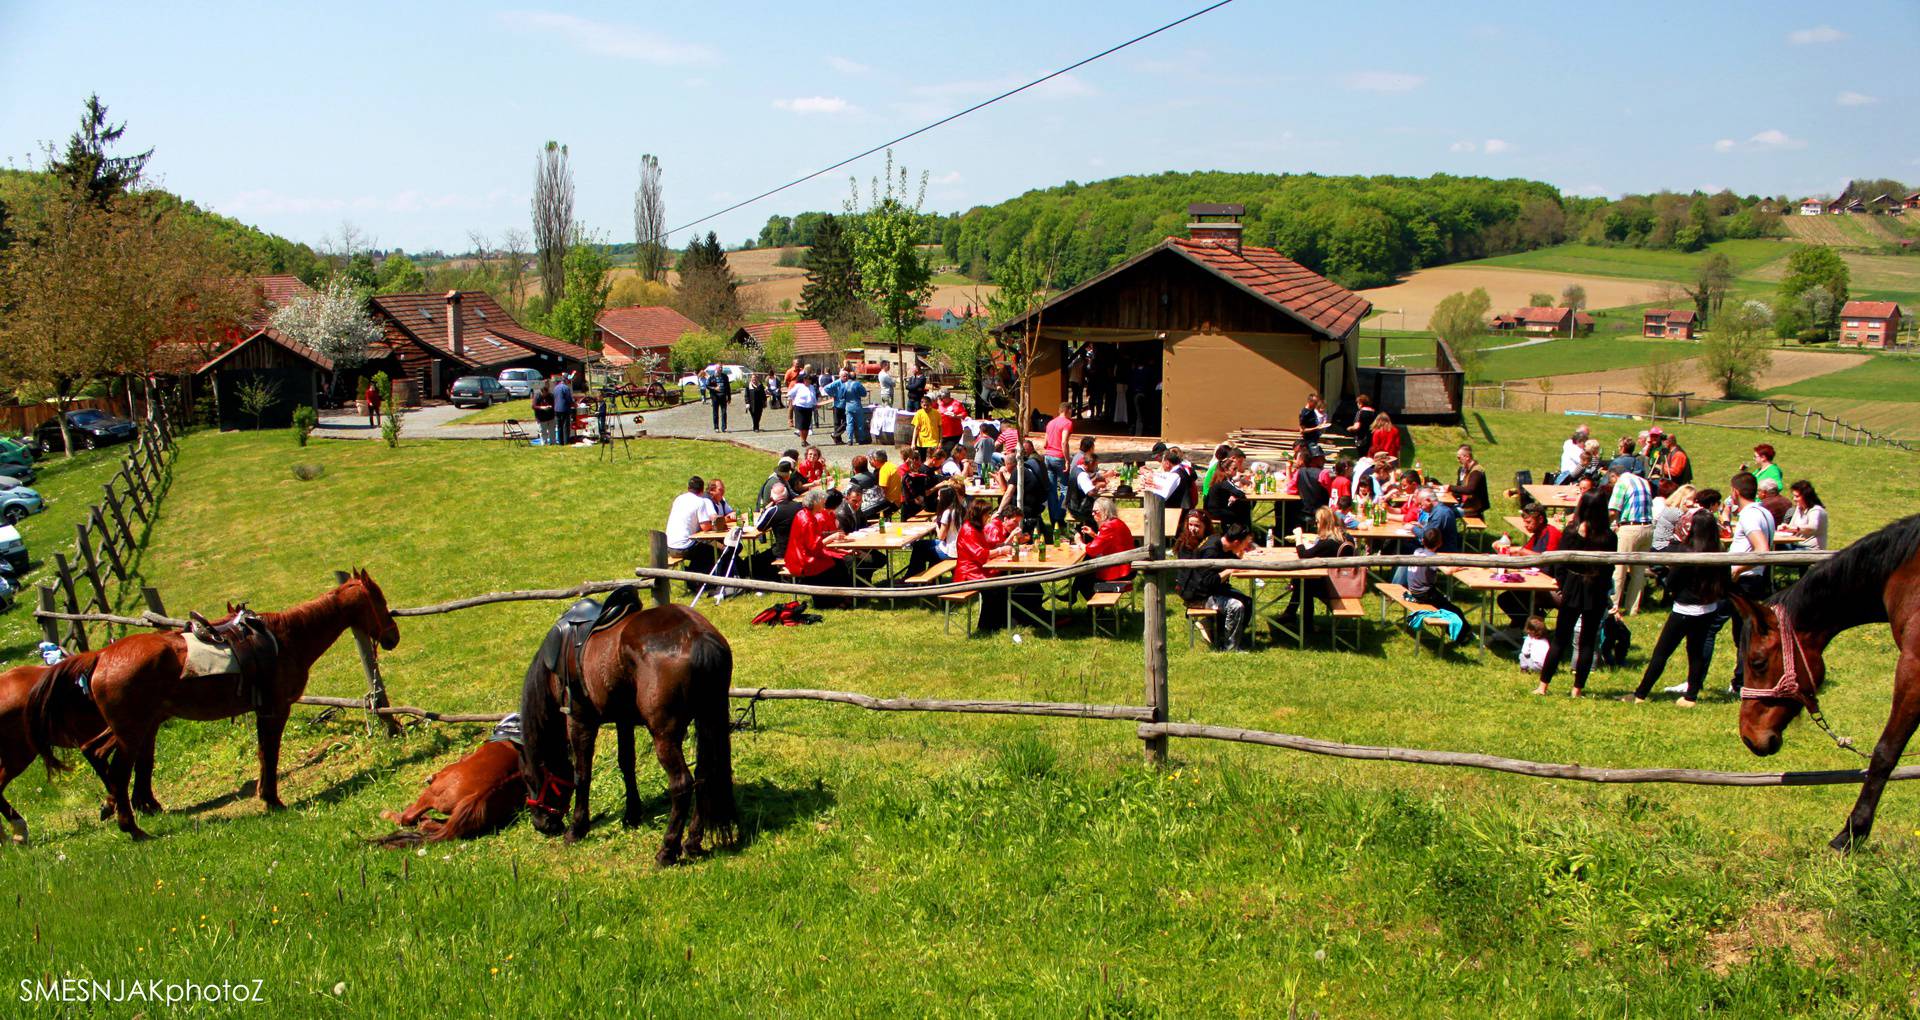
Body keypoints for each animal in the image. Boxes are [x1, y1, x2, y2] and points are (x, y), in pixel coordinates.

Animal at [25, 572, 397, 841]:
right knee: (117, 769)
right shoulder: (276, 708)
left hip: (130, 726)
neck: (287, 637)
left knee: (98, 752)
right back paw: (132, 827)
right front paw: (272, 800)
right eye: (378, 600)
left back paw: (119, 806)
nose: (393, 636)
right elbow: (270, 753)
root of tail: (101, 656)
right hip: (132, 731)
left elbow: (262, 753)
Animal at [518, 587, 733, 864]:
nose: (541, 824)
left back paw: (667, 851)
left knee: (682, 784)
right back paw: (692, 843)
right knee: (704, 776)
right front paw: (632, 815)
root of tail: (699, 637)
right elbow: (626, 763)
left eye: (526, 777)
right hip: (707, 719)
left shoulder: (580, 719)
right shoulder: (623, 719)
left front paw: (577, 829)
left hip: (664, 734)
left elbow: (582, 774)